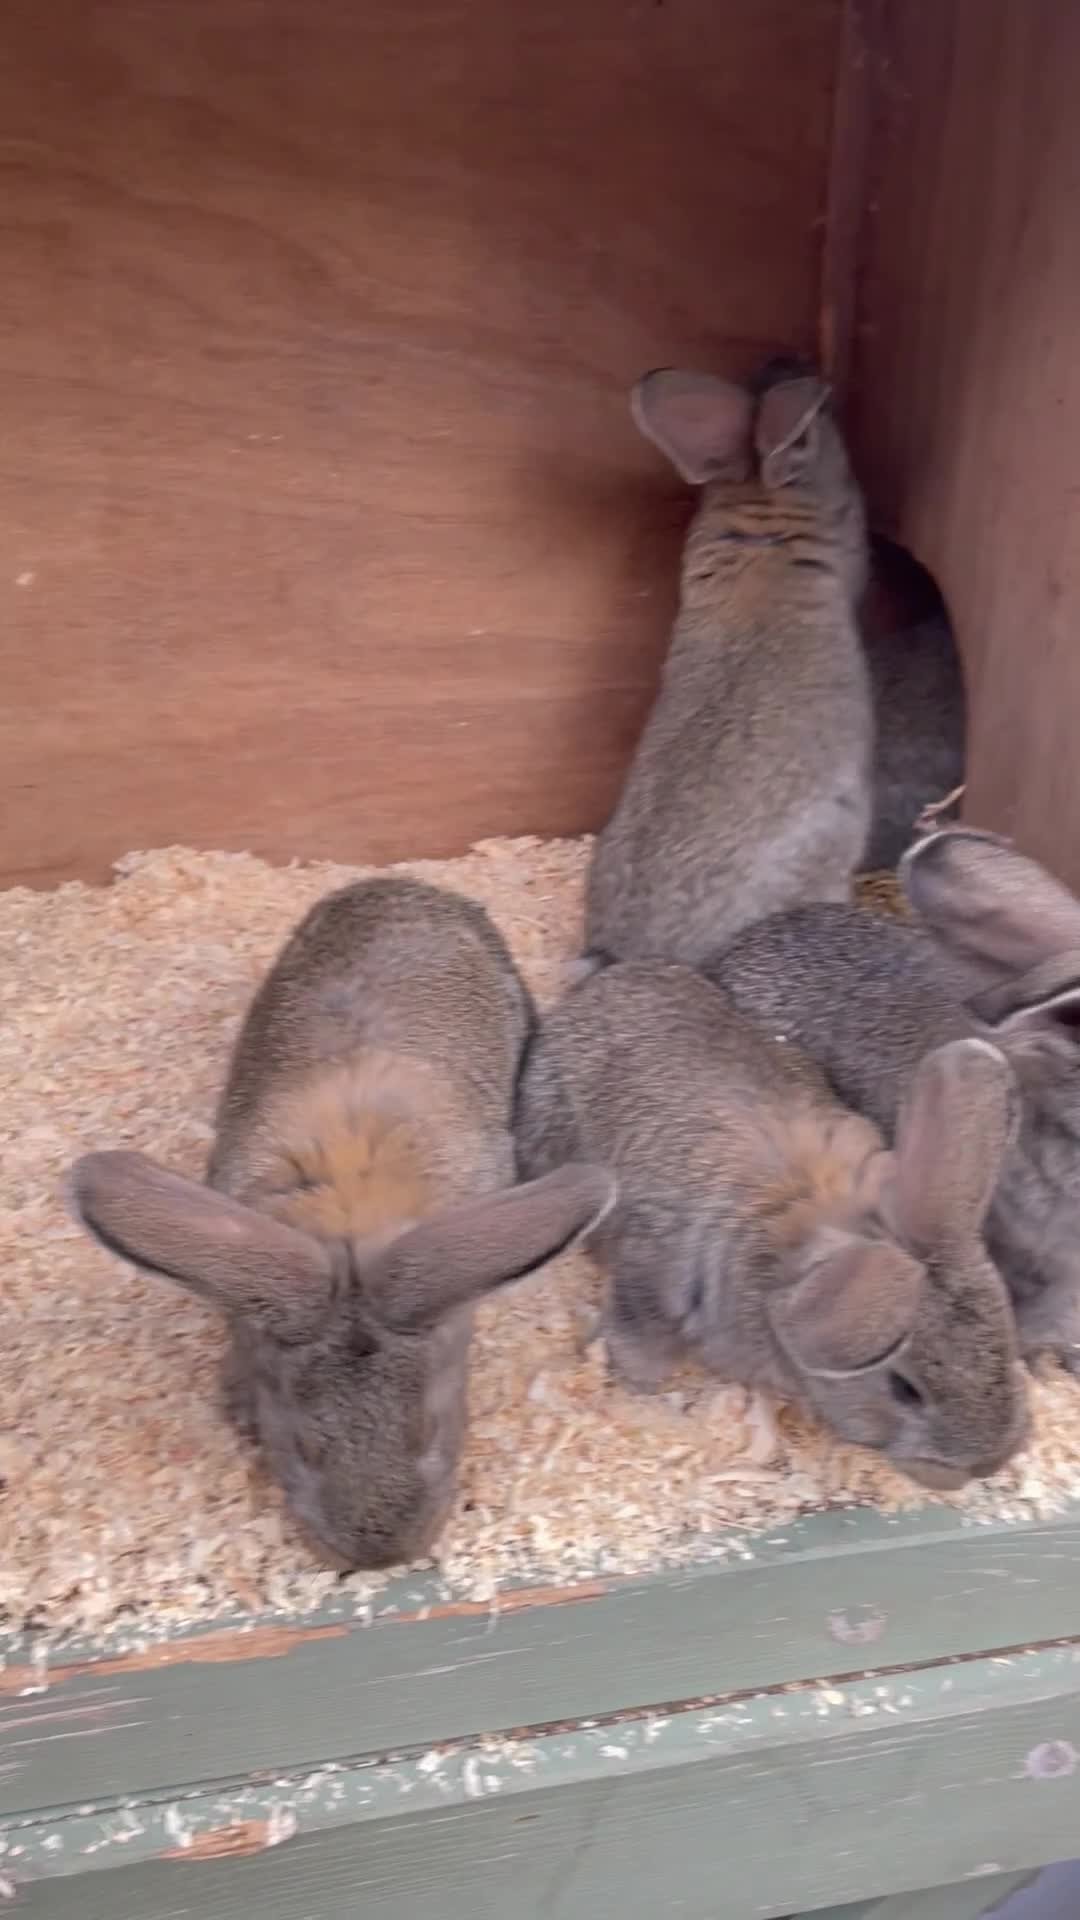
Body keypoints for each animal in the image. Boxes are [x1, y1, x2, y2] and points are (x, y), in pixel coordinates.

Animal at [516, 959, 1029, 1490]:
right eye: (905, 1389)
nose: (989, 1463)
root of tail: (594, 992)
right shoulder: (651, 1280)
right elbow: (637, 1345)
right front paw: (638, 1393)